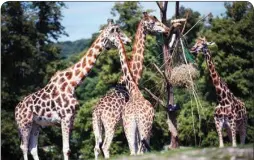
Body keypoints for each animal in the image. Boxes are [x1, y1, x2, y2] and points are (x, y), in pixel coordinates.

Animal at [13, 19, 130, 160]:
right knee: (24, 147)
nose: (128, 40)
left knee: (33, 148)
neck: (73, 83)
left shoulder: (72, 118)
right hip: (24, 124)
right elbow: (65, 149)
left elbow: (68, 149)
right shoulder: (65, 117)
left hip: (36, 125)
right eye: (116, 30)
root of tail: (16, 109)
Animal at [92, 12, 184, 159]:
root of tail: (98, 111)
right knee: (106, 147)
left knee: (96, 147)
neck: (134, 75)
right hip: (111, 124)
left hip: (96, 125)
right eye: (152, 22)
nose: (166, 29)